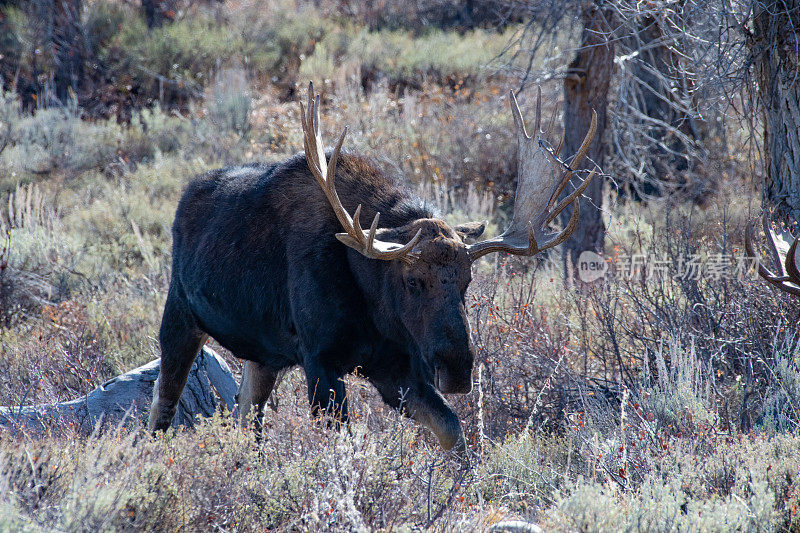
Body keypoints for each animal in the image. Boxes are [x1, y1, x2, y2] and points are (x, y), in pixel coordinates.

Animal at [150, 83, 596, 448]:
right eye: (413, 281)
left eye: (468, 282)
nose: (457, 367)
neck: (370, 304)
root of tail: (183, 200)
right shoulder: (320, 357)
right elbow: (343, 445)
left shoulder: (393, 364)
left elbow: (451, 430)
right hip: (180, 316)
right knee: (162, 408)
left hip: (262, 356)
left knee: (246, 419)